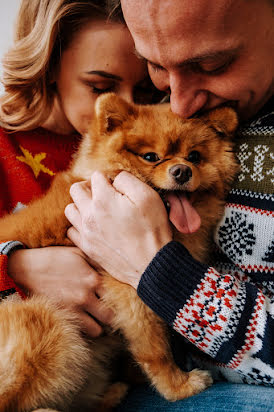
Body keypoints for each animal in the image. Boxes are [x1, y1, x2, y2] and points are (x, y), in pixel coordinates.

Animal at [0, 94, 239, 412]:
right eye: (150, 157)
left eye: (194, 157)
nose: (182, 171)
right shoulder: (129, 291)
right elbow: (156, 349)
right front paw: (179, 387)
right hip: (46, 322)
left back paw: (109, 394)